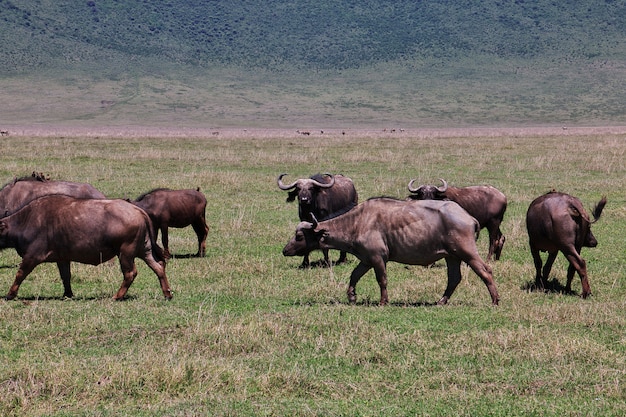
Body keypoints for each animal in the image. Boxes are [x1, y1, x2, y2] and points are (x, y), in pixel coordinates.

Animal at [0, 194, 172, 300]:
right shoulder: (62, 258)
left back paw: (117, 296)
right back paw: (167, 294)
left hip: (126, 253)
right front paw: (68, 294)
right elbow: (66, 276)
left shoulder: (32, 256)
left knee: (130, 273)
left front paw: (10, 294)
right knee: (159, 266)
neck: (25, 221)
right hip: (144, 250)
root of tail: (138, 211)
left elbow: (20, 274)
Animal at [282, 197, 498, 304]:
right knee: (454, 278)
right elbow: (354, 275)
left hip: (466, 252)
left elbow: (382, 280)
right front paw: (351, 296)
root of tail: (467, 216)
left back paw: (495, 300)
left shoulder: (378, 259)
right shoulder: (366, 260)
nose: (285, 250)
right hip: (451, 256)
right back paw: (441, 301)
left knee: (485, 271)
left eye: (299, 236)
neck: (358, 222)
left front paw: (383, 301)